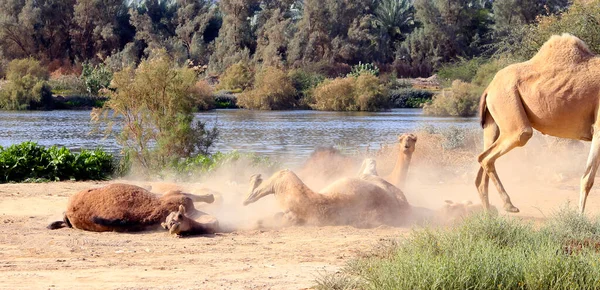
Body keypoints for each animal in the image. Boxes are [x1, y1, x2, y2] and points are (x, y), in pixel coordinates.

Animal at [476, 34, 600, 213]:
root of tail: (489, 88)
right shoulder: (598, 128)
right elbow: (588, 179)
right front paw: (580, 216)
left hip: (492, 121)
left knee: (483, 157)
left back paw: (489, 211)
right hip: (508, 108)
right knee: (493, 153)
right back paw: (509, 205)